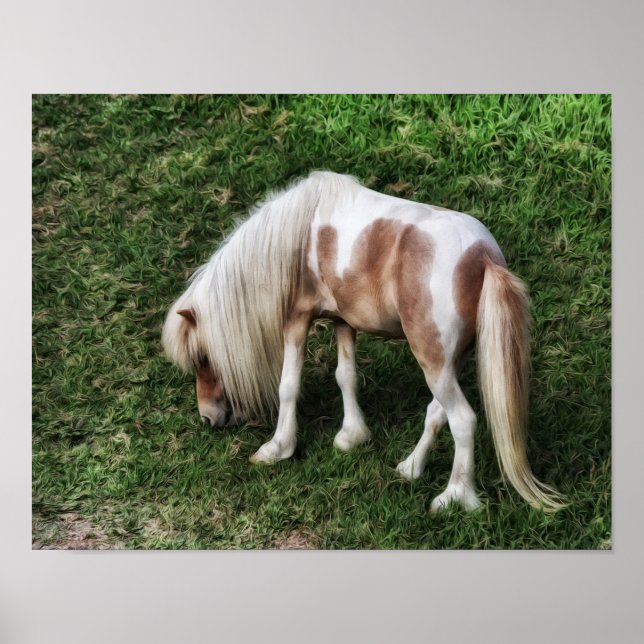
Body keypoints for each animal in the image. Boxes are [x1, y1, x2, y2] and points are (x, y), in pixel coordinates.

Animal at [162, 171, 563, 512]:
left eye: (200, 358)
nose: (208, 419)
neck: (297, 238)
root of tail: (483, 259)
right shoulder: (343, 321)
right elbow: (346, 376)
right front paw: (351, 437)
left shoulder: (297, 319)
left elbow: (288, 386)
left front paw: (277, 448)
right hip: (449, 362)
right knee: (437, 413)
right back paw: (410, 468)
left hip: (434, 361)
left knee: (462, 420)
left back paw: (454, 498)